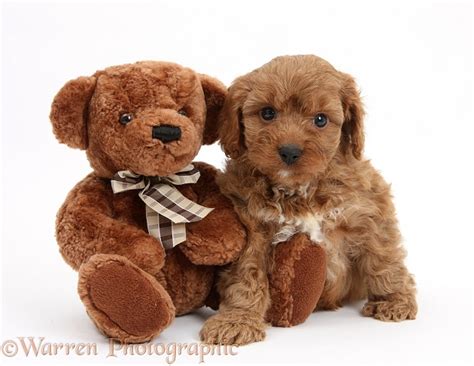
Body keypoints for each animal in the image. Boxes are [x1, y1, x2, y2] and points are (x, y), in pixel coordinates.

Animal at [202, 55, 416, 346]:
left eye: (320, 119)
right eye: (267, 113)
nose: (290, 152)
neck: (299, 191)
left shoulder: (369, 208)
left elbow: (383, 258)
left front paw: (393, 300)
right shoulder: (251, 228)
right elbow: (246, 275)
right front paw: (237, 319)